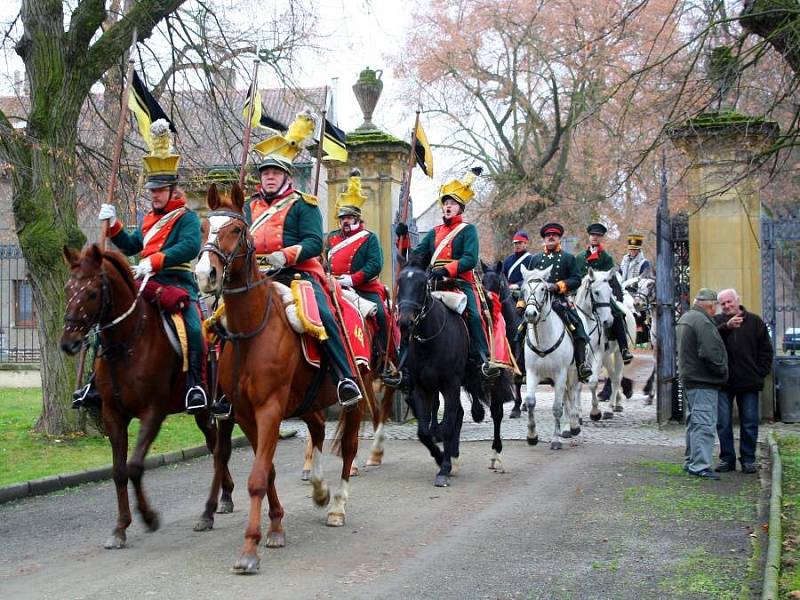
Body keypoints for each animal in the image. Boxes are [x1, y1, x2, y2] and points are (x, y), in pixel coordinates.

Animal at [59, 244, 234, 548]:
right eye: (69, 288)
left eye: (91, 292)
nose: (68, 343)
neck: (128, 340)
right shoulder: (113, 415)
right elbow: (119, 471)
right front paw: (120, 527)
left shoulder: (153, 412)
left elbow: (135, 466)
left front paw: (149, 517)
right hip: (203, 412)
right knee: (215, 449)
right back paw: (224, 497)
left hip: (222, 407)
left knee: (220, 451)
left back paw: (211, 509)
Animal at [194, 184, 372, 576]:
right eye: (202, 227)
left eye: (236, 230)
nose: (204, 275)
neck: (251, 330)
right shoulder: (246, 414)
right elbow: (269, 471)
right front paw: (275, 527)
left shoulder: (270, 409)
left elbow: (258, 477)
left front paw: (250, 548)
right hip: (309, 401)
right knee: (318, 431)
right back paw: (319, 489)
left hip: (355, 397)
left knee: (349, 448)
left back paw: (337, 505)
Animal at [520, 268, 580, 450]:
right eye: (523, 290)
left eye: (543, 289)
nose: (530, 314)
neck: (544, 338)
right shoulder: (532, 372)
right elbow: (530, 401)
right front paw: (532, 436)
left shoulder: (561, 373)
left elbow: (557, 408)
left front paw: (555, 439)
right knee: (567, 397)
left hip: (572, 373)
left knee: (571, 395)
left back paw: (573, 425)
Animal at [576, 270, 620, 420]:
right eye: (596, 292)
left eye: (610, 291)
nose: (609, 321)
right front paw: (577, 413)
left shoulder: (597, 353)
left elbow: (593, 382)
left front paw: (595, 411)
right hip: (607, 358)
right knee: (613, 376)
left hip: (617, 354)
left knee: (616, 378)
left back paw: (611, 408)